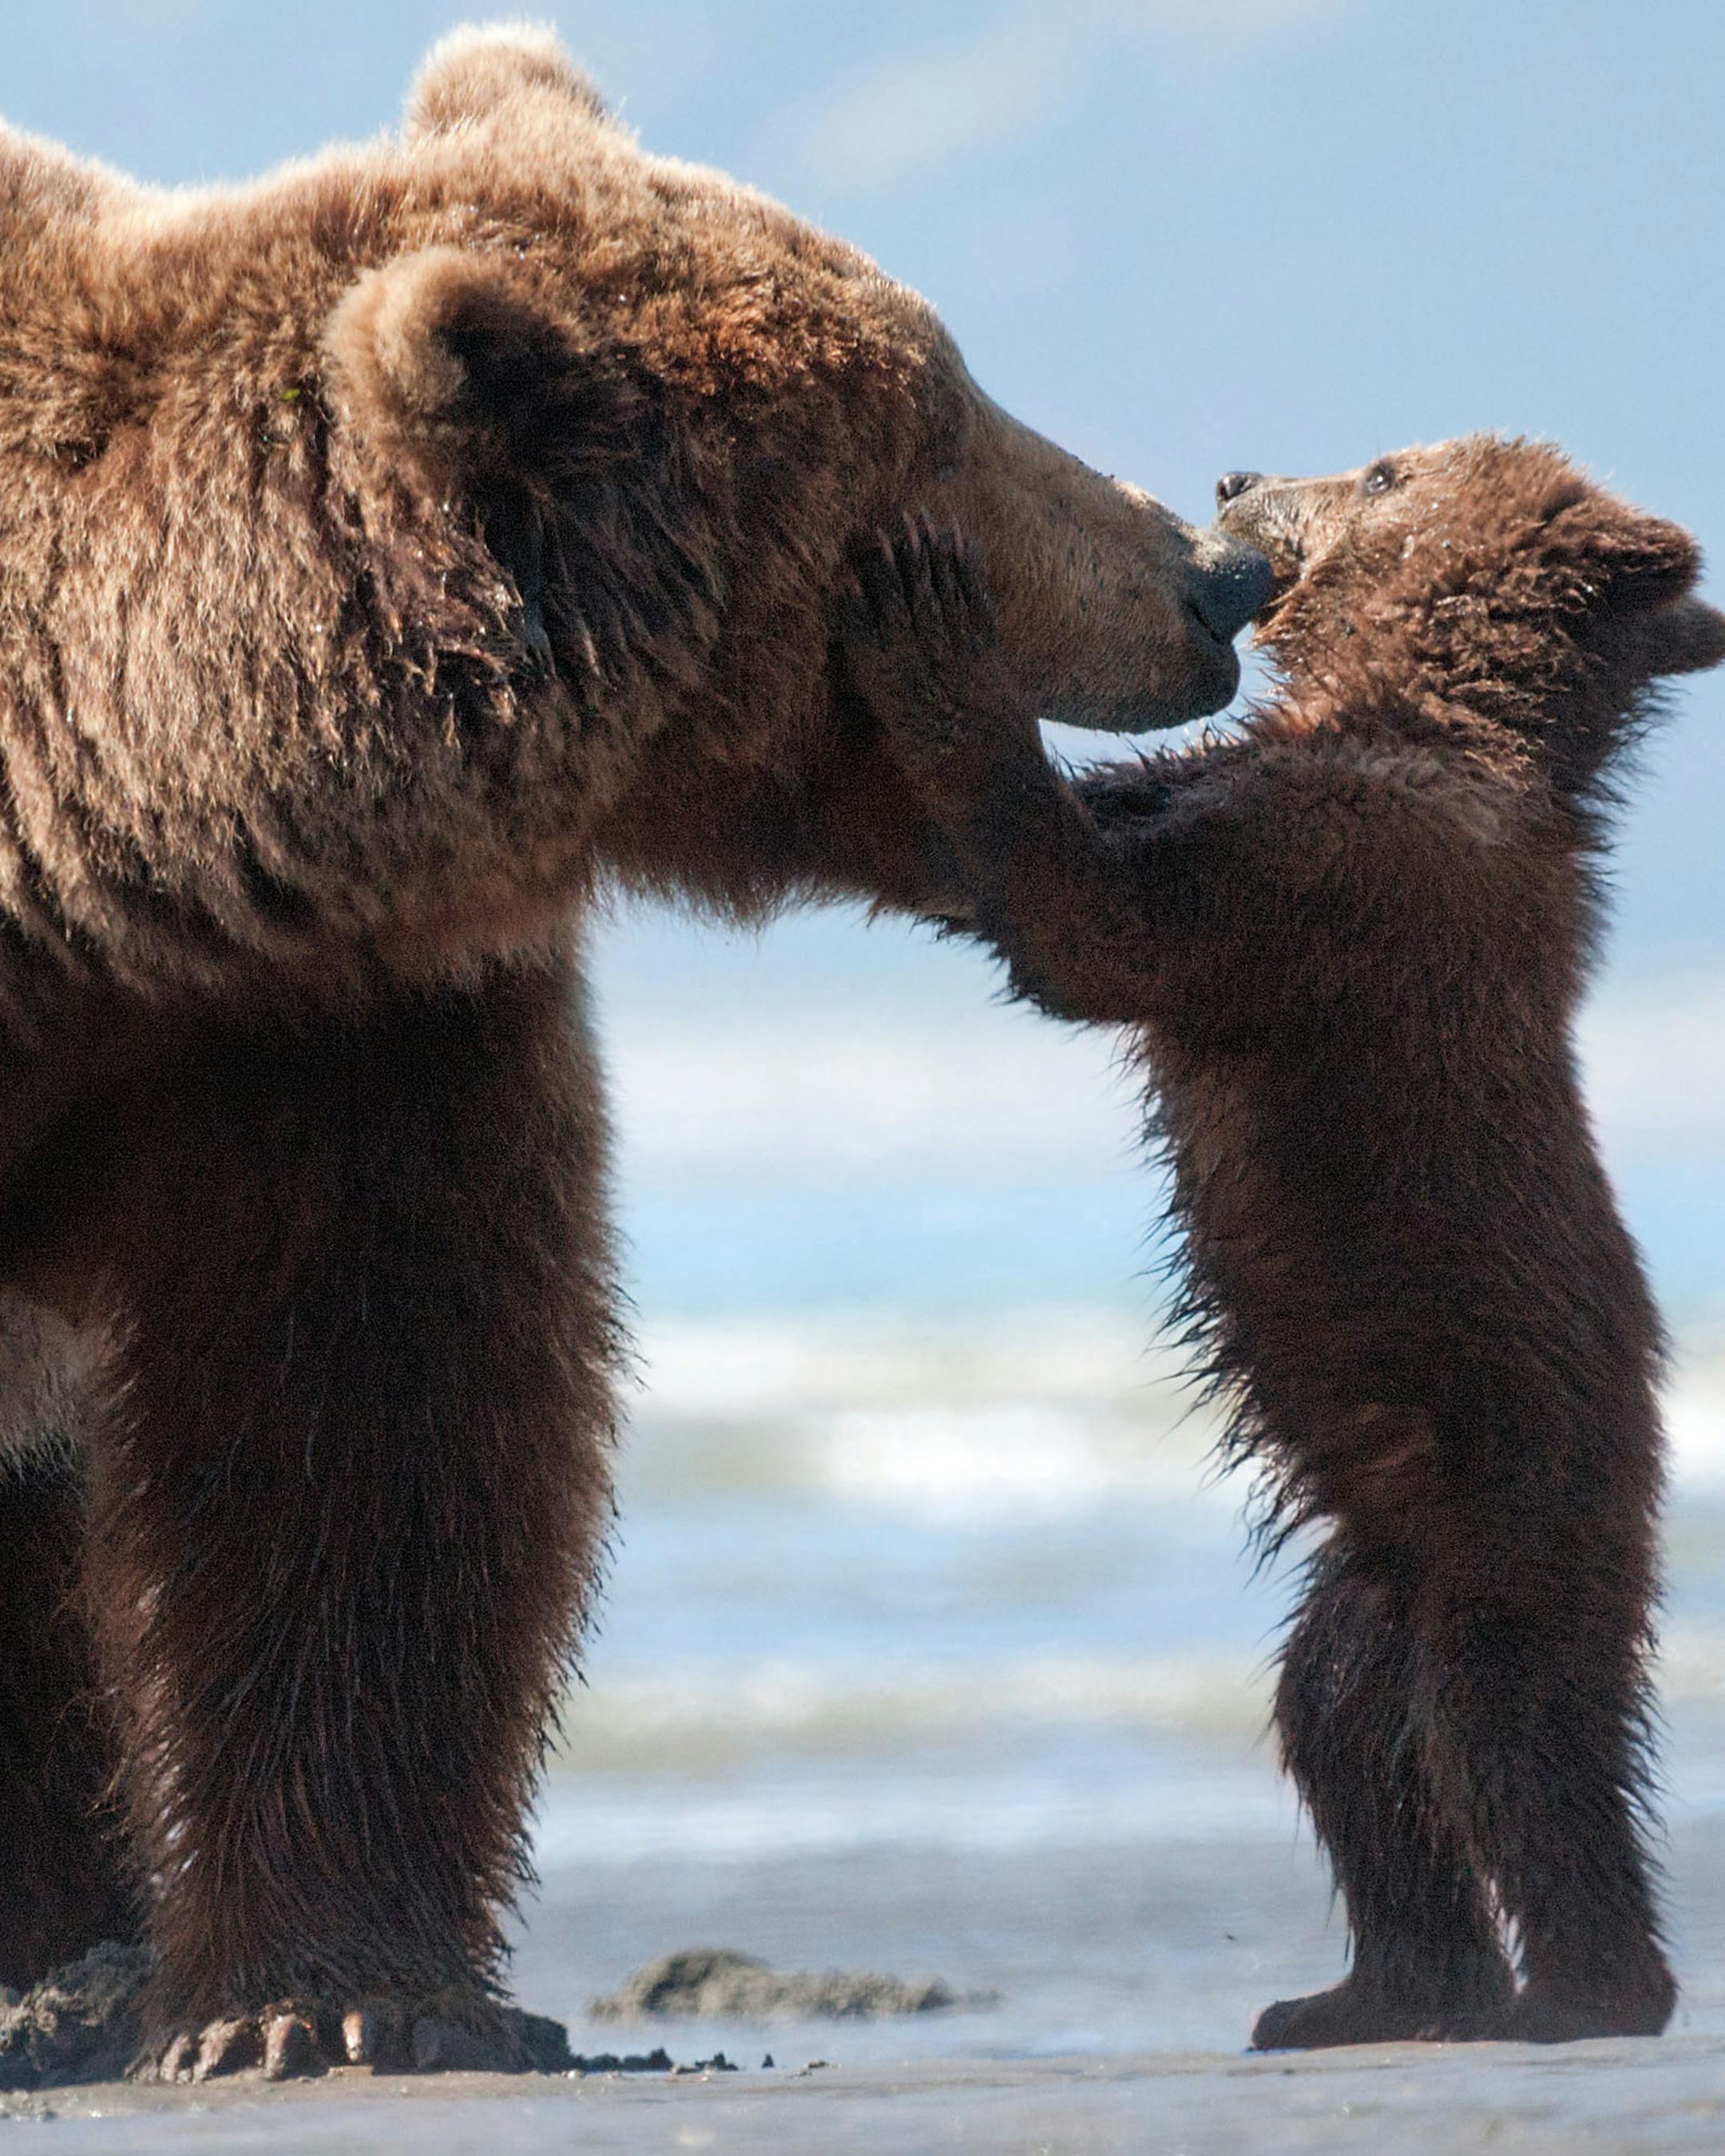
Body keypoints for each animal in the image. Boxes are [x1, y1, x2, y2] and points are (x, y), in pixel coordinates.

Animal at [843, 440, 1725, 2047]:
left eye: (1384, 466)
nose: (1236, 474)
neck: (1419, 709)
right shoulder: (1252, 796)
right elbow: (1095, 836)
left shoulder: (1338, 879)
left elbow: (1098, 928)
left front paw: (937, 633)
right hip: (1370, 1562)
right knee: (1349, 1733)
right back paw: (1365, 1991)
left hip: (1518, 1470)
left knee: (1514, 1719)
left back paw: (1582, 1994)